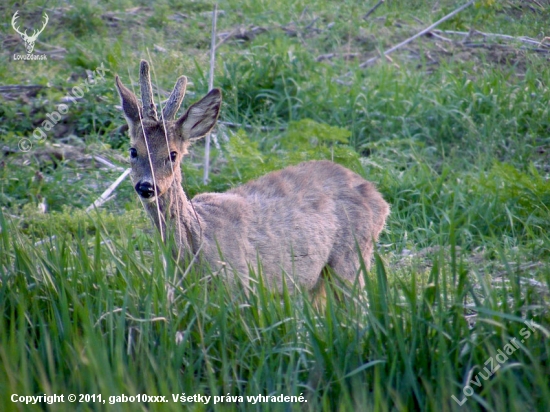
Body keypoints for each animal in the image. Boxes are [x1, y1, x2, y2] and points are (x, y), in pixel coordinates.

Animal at [115, 59, 392, 294]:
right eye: (133, 150)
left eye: (172, 154)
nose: (146, 186)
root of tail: (380, 200)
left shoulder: (242, 285)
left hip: (351, 258)